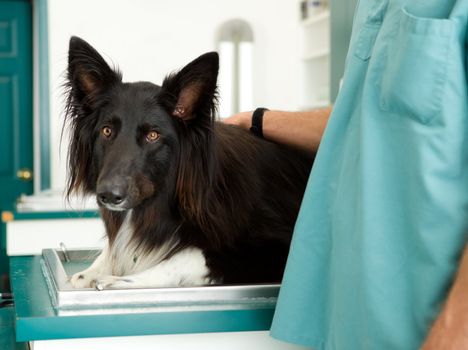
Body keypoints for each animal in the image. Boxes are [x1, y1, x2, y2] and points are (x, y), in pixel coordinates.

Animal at [65, 37, 314, 288]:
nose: (108, 195)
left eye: (153, 135)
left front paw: (121, 280)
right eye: (106, 131)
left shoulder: (275, 245)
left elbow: (188, 256)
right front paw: (91, 271)